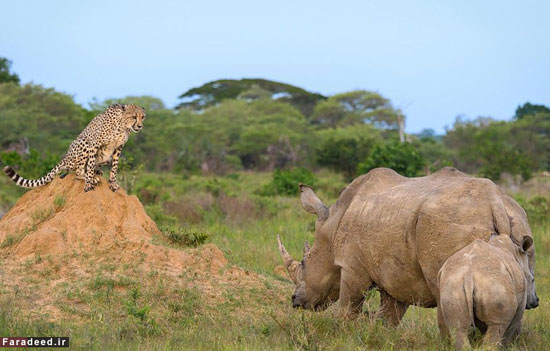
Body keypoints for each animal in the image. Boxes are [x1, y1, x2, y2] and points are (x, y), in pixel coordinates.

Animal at [3, 104, 146, 192]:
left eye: (142, 117)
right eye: (134, 117)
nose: (139, 126)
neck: (123, 125)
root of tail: (65, 158)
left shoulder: (118, 148)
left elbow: (114, 168)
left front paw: (113, 183)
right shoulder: (94, 143)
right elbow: (89, 166)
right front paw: (89, 182)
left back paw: (97, 173)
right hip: (83, 143)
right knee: (77, 173)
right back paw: (90, 176)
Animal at [278, 166, 540, 326]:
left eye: (304, 262)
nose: (295, 301)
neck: (331, 225)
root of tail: (496, 202)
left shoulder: (352, 267)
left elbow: (348, 308)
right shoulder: (395, 272)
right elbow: (388, 317)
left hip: (452, 221)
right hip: (518, 218)